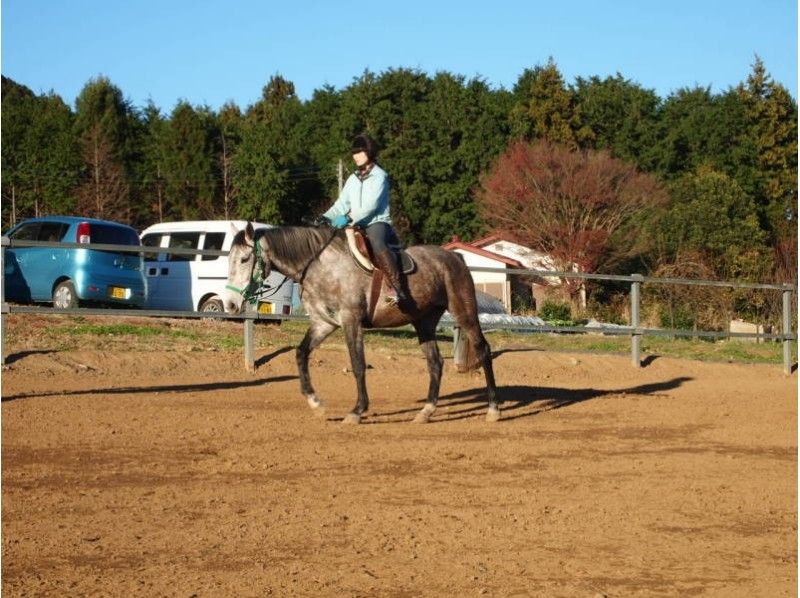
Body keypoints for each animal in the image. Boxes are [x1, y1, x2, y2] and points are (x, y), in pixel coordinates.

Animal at [223, 223, 500, 424]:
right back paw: (425, 412)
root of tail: (455, 257)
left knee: (483, 350)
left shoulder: (351, 320)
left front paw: (357, 411)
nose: (231, 304)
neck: (322, 267)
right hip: (424, 322)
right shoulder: (324, 323)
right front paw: (316, 403)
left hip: (464, 313)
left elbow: (357, 364)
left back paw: (493, 409)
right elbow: (301, 353)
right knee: (435, 362)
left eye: (245, 259)